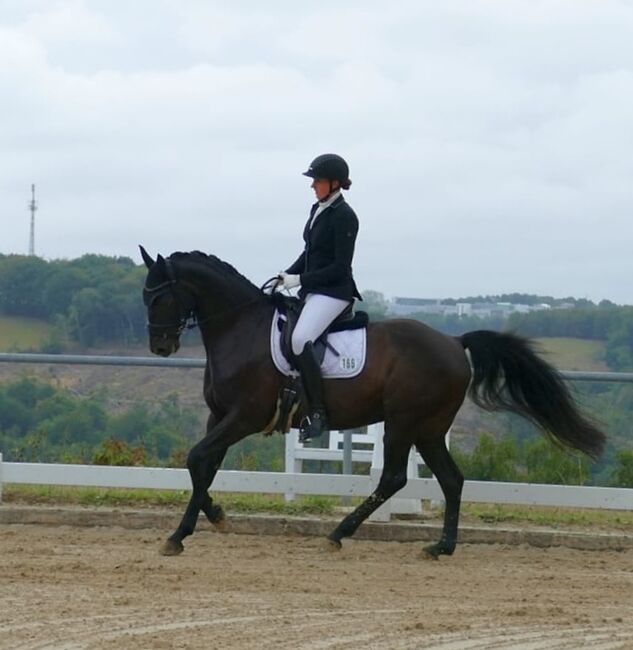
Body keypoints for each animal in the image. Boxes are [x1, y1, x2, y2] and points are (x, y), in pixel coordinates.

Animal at [141, 248, 604, 556]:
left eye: (159, 296)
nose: (160, 346)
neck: (242, 328)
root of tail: (454, 341)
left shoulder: (244, 417)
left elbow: (196, 459)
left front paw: (181, 534)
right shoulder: (219, 417)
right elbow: (203, 467)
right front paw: (207, 520)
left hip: (403, 423)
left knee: (395, 478)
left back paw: (339, 534)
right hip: (428, 428)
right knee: (451, 479)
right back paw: (441, 547)